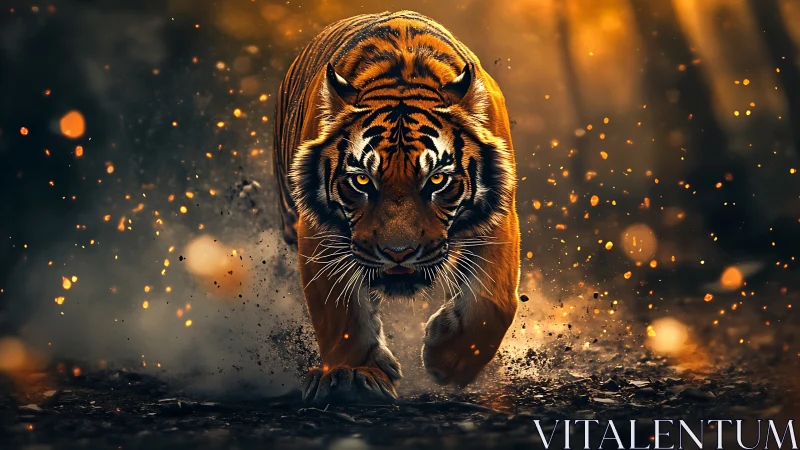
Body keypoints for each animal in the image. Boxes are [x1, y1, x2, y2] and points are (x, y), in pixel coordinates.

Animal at [272, 10, 520, 404]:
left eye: (437, 180)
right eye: (361, 181)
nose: (398, 253)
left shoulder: (497, 220)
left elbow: (492, 302)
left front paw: (448, 362)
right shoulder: (318, 229)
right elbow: (338, 310)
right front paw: (352, 376)